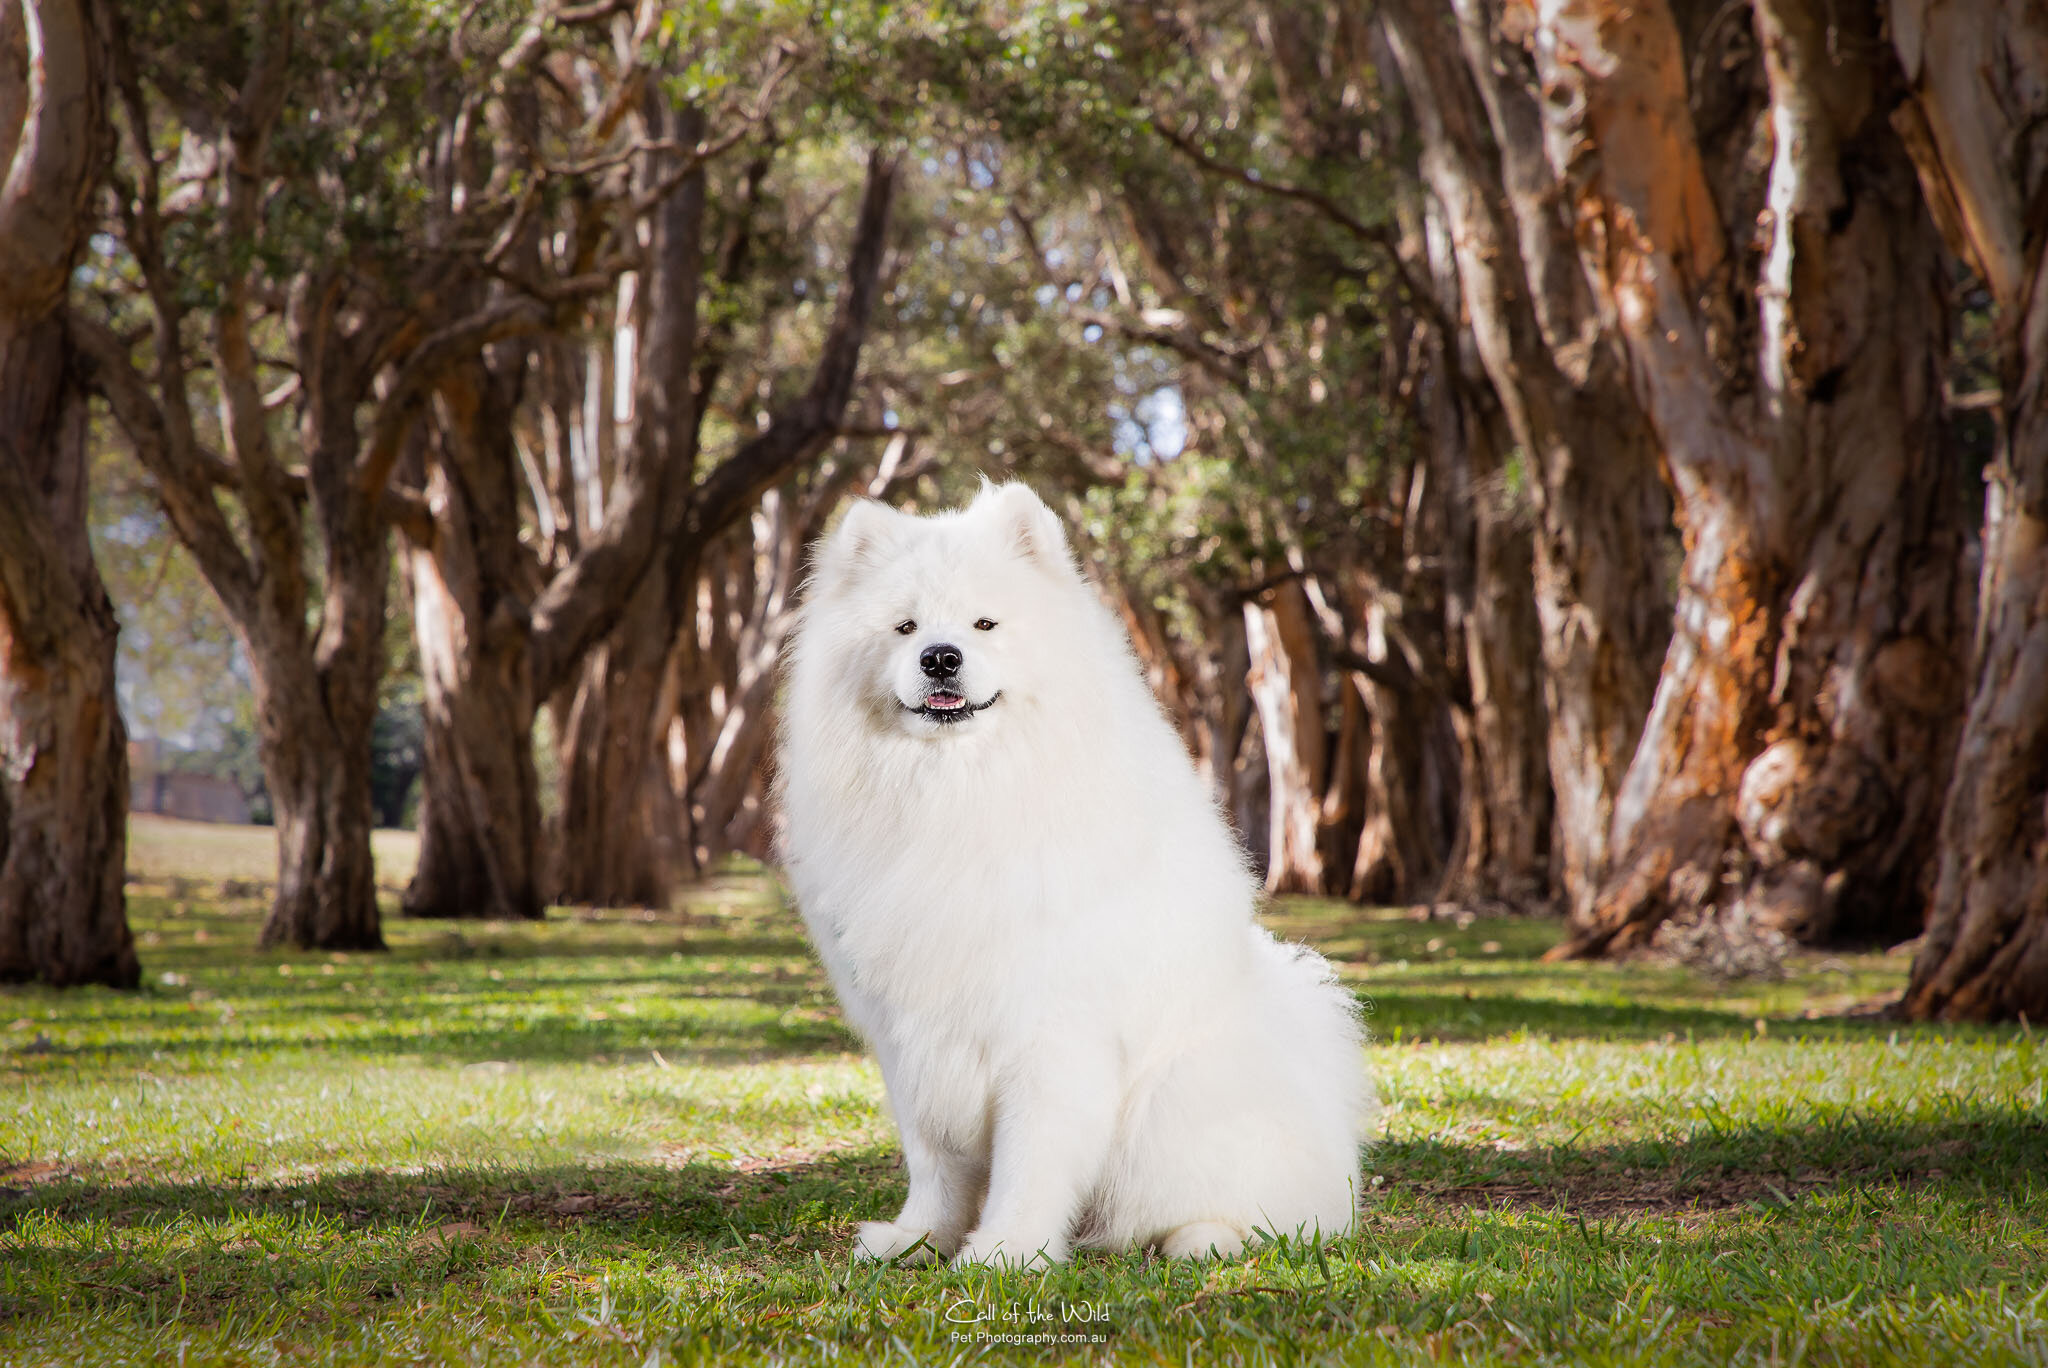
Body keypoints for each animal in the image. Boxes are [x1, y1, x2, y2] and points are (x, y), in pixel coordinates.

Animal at [774, 485, 1368, 1269]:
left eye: (984, 623)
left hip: (1185, 1105)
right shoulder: (912, 1035)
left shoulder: (1050, 1034)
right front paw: (915, 1239)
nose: (940, 657)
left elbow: (1032, 1161)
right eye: (904, 627)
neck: (959, 795)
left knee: (1262, 1211)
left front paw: (1006, 1250)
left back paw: (1203, 1238)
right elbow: (935, 1159)